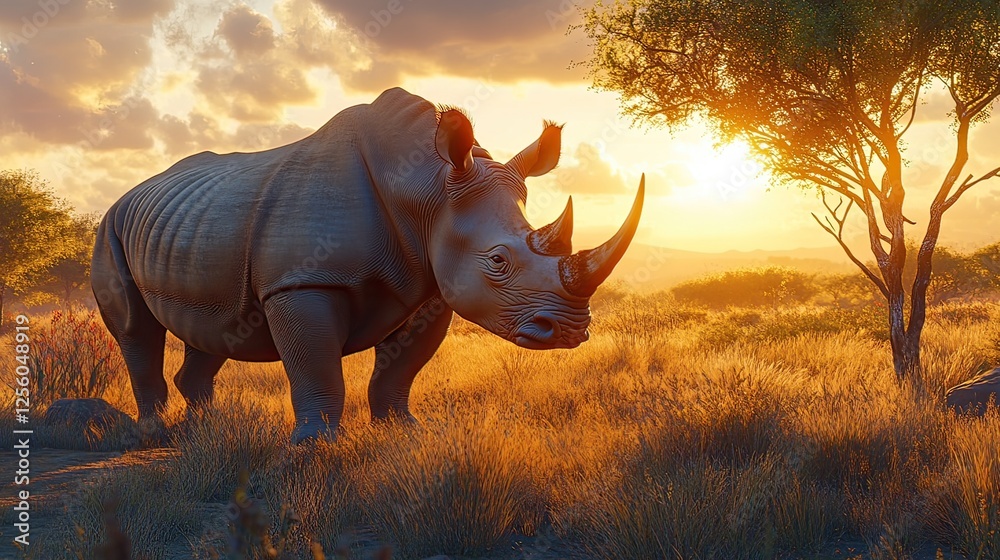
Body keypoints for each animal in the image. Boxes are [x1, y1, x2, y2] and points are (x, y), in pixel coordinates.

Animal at [91, 87, 644, 442]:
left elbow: (400, 369)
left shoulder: (429, 287)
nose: (569, 330)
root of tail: (129, 194)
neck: (427, 189)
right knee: (138, 330)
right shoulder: (301, 282)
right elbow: (317, 367)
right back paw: (156, 432)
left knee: (215, 326)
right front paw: (313, 445)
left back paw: (204, 430)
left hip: (190, 226)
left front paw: (405, 432)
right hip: (110, 228)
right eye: (498, 260)